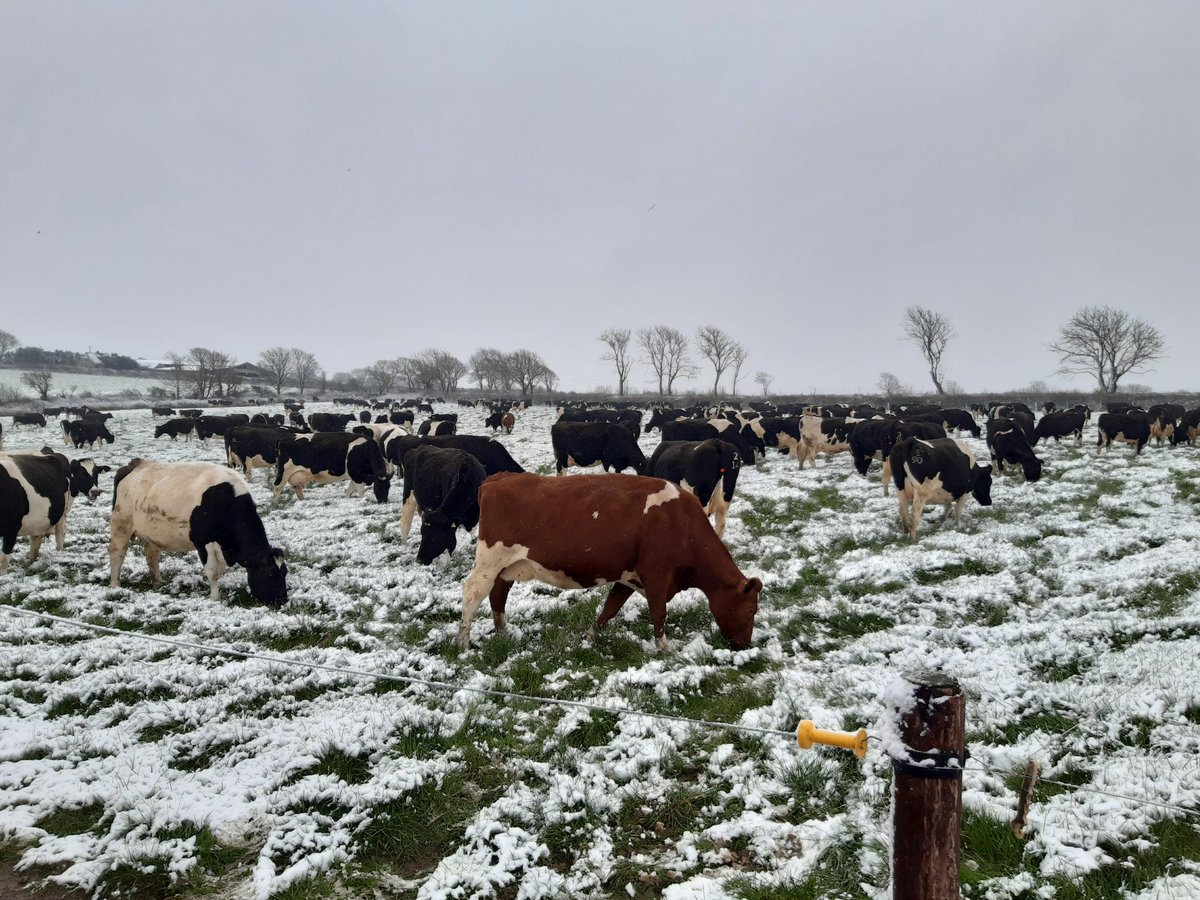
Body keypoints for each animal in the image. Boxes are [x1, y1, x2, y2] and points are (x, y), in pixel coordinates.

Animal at [108, 460, 287, 606]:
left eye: (285, 572)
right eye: (271, 573)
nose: (283, 601)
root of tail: (136, 465)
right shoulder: (204, 542)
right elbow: (213, 572)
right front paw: (215, 598)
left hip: (152, 532)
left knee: (151, 554)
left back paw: (158, 582)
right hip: (121, 523)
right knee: (117, 552)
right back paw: (115, 585)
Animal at [457, 473, 762, 651]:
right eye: (751, 611)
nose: (746, 645)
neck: (680, 522)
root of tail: (498, 479)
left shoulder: (629, 576)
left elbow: (610, 608)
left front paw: (590, 636)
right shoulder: (656, 573)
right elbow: (659, 612)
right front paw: (665, 648)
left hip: (506, 566)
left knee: (498, 594)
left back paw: (503, 631)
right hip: (490, 560)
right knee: (473, 593)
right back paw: (462, 643)